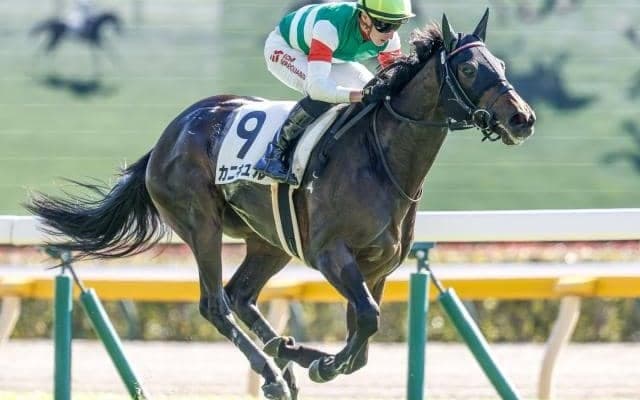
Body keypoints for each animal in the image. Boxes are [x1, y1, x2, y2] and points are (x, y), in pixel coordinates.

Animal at [26, 10, 535, 400]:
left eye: (499, 62)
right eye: (467, 70)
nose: (522, 118)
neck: (382, 159)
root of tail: (166, 138)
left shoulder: (378, 268)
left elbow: (364, 340)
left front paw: (311, 357)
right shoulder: (332, 255)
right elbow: (367, 321)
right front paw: (321, 363)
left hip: (268, 240)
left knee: (240, 295)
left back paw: (282, 358)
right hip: (202, 225)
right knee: (215, 304)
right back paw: (273, 371)